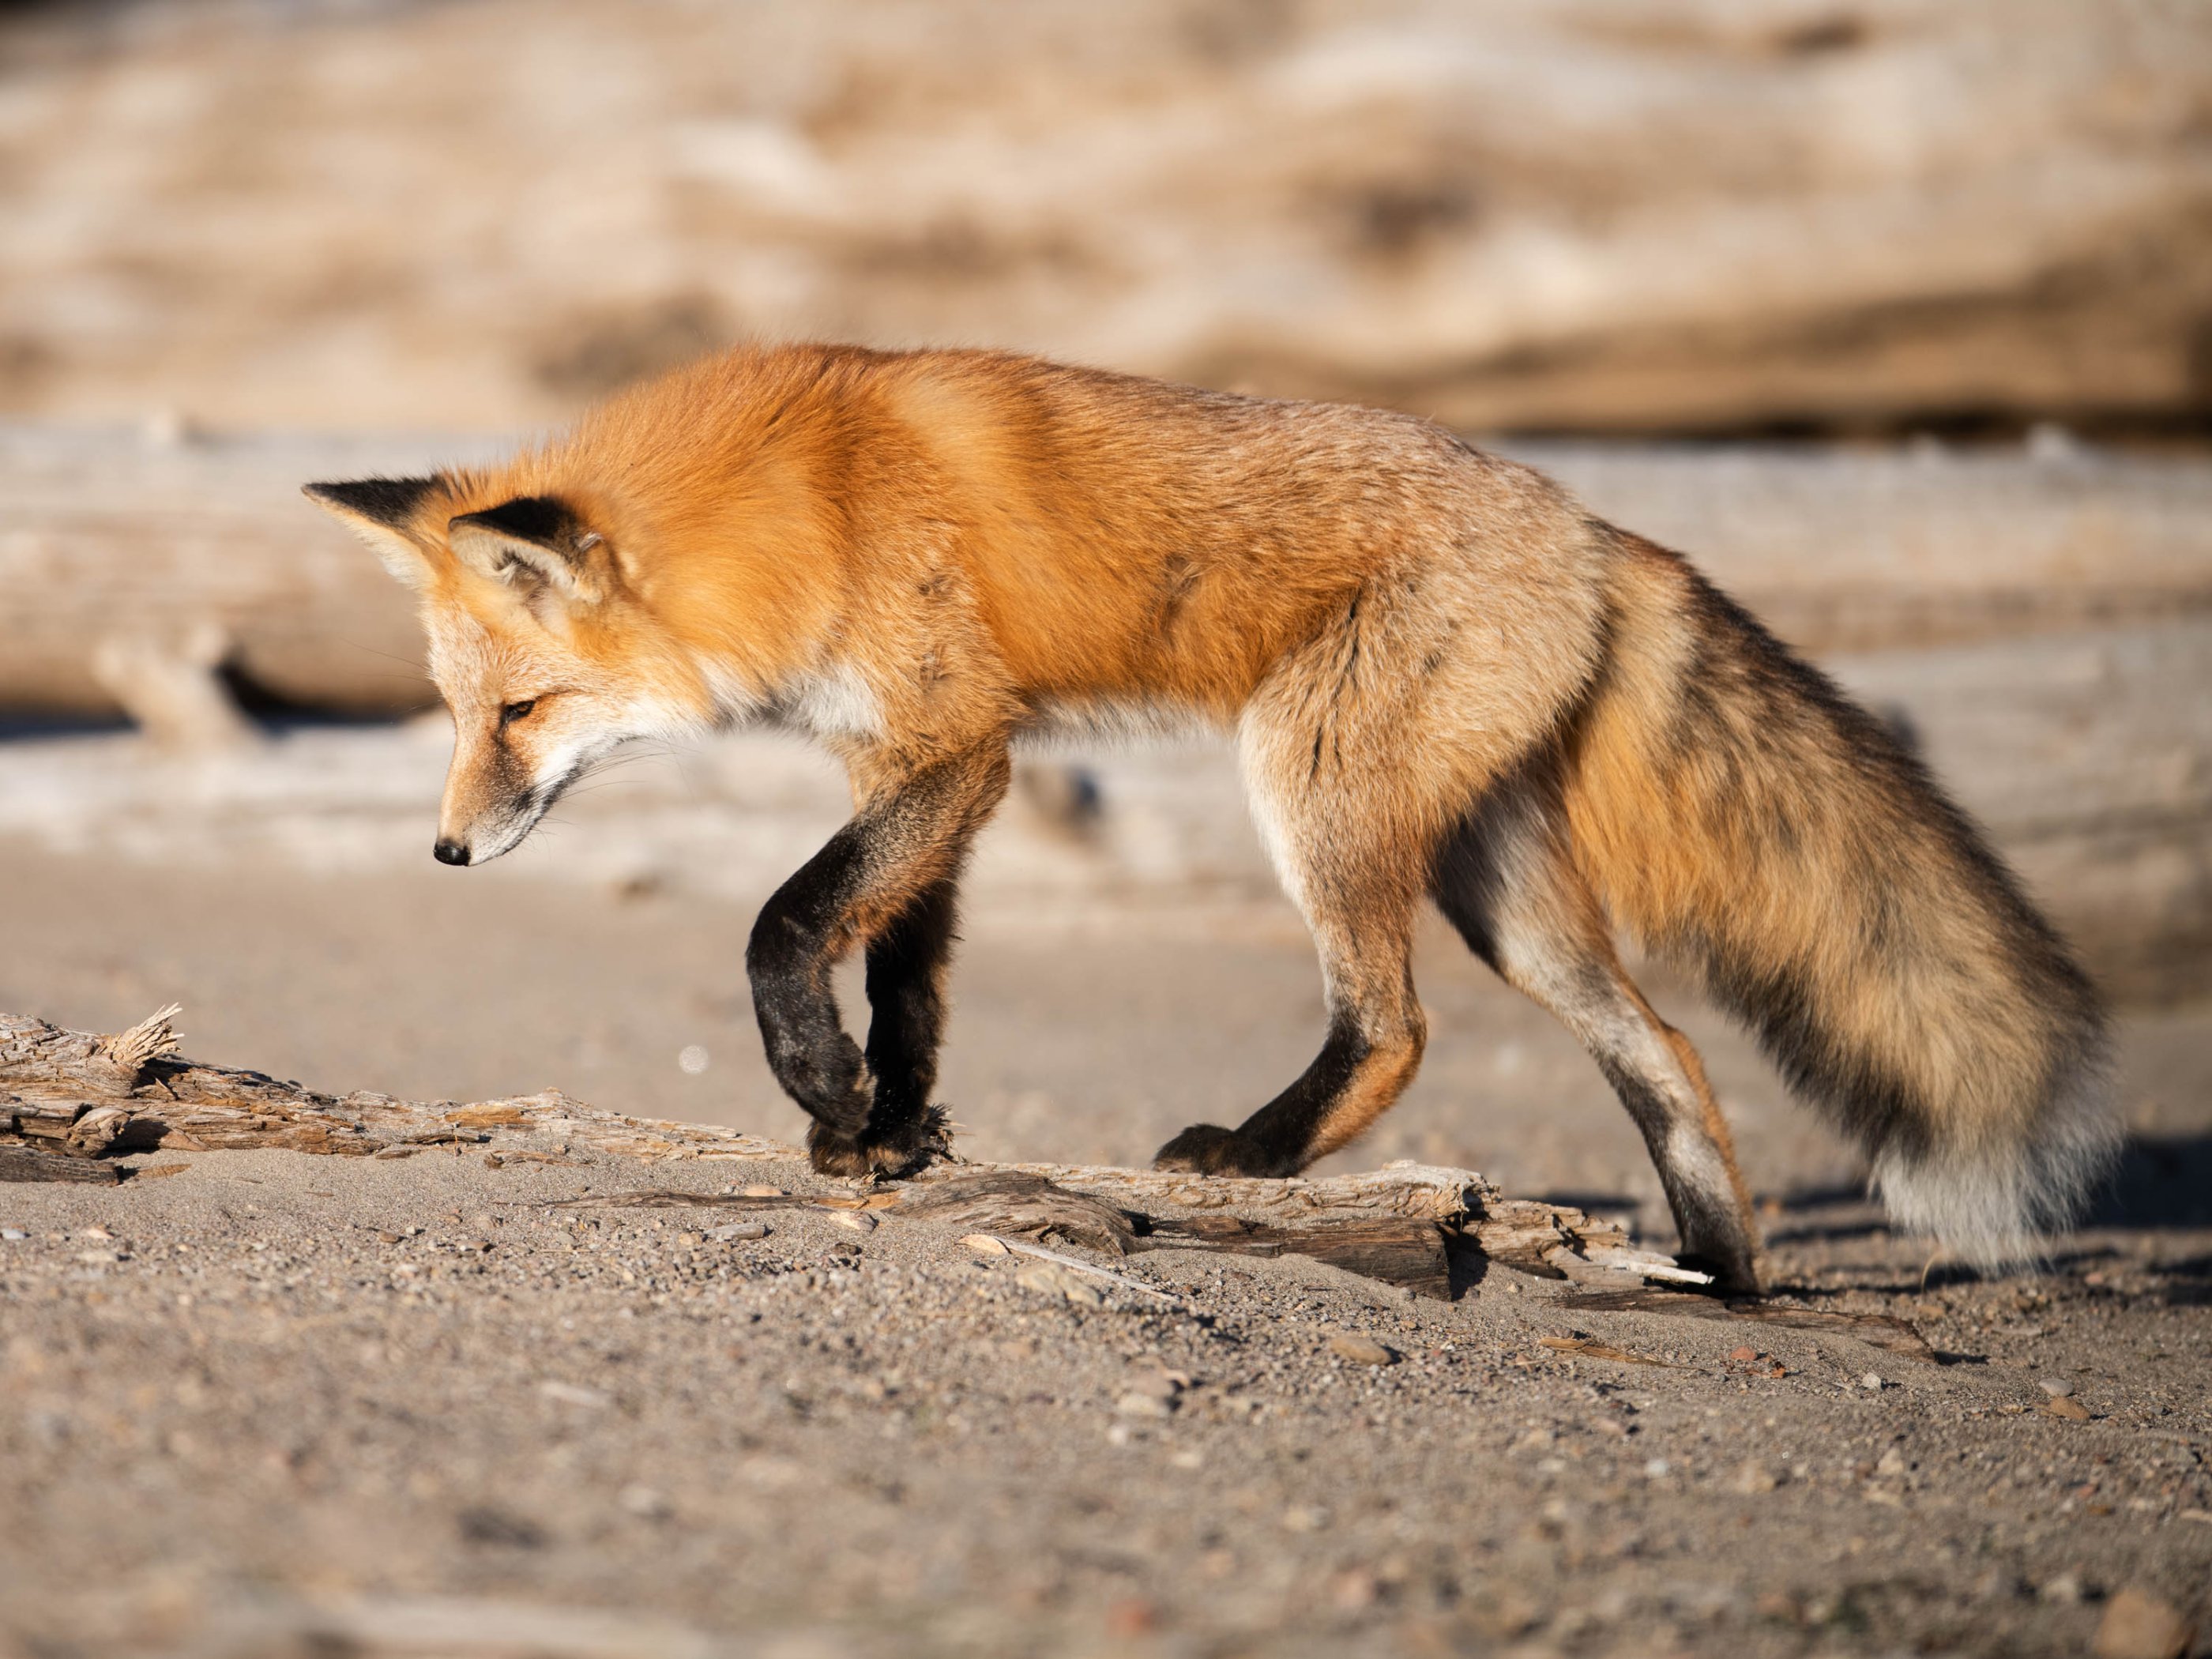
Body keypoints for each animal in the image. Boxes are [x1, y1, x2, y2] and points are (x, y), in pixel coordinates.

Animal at [303, 340, 2114, 1300]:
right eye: (454, 717)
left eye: (516, 717)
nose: (447, 851)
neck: (802, 499)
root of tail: (1597, 531)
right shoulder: (933, 758)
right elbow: (908, 966)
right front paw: (886, 1129)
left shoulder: (955, 750)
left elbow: (786, 921)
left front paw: (823, 1087)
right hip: (1502, 892)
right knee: (1661, 1049)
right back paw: (1722, 1280)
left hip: (1313, 789)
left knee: (1392, 1028)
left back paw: (1251, 1158)